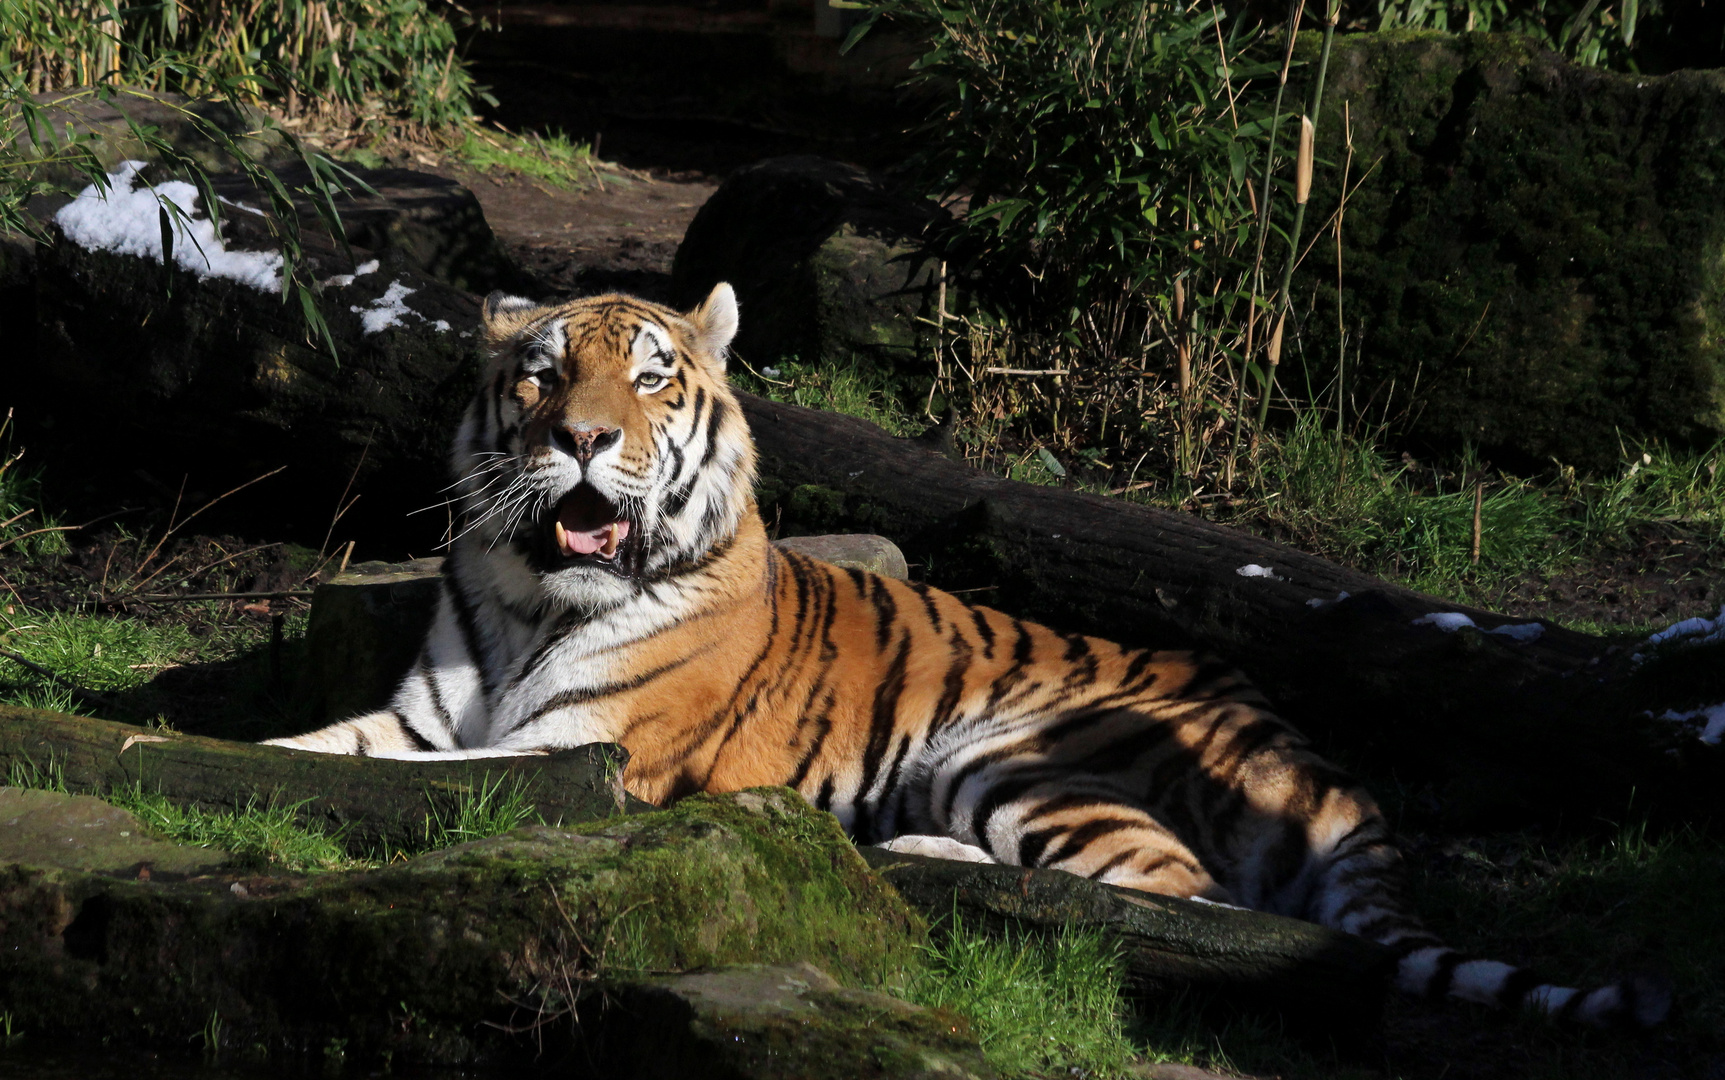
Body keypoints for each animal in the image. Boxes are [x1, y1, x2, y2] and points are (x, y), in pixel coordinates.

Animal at [265, 281, 1656, 1021]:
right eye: (543, 376)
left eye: (652, 381)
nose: (586, 441)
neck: (533, 594)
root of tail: (1314, 758)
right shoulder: (426, 713)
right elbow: (312, 746)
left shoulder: (588, 749)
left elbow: (411, 782)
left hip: (1021, 756)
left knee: (1186, 898)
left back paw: (926, 859)